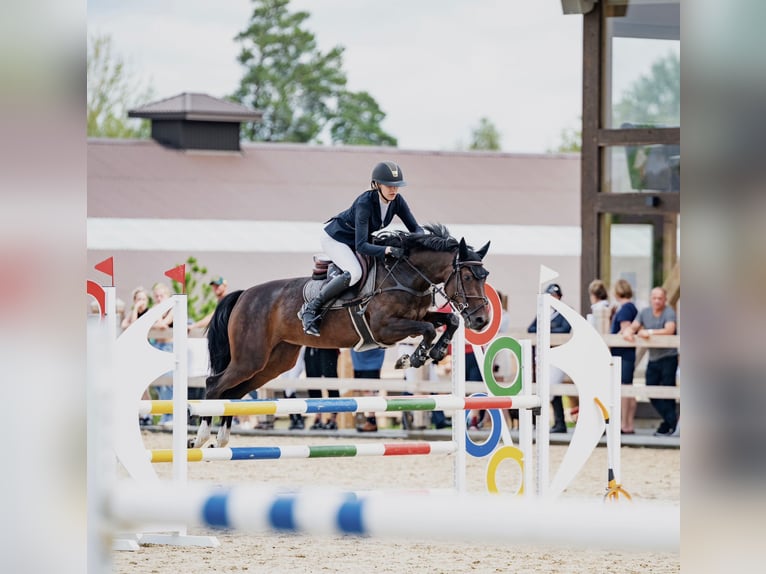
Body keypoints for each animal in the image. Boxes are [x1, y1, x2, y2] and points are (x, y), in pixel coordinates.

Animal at [190, 223, 491, 448]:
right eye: (466, 276)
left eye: (485, 275)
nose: (481, 320)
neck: (407, 275)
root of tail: (244, 295)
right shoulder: (385, 328)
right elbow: (428, 329)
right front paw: (413, 358)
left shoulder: (418, 316)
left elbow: (449, 320)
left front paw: (435, 351)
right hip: (249, 358)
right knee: (214, 385)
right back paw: (201, 438)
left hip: (274, 362)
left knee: (234, 392)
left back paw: (221, 439)